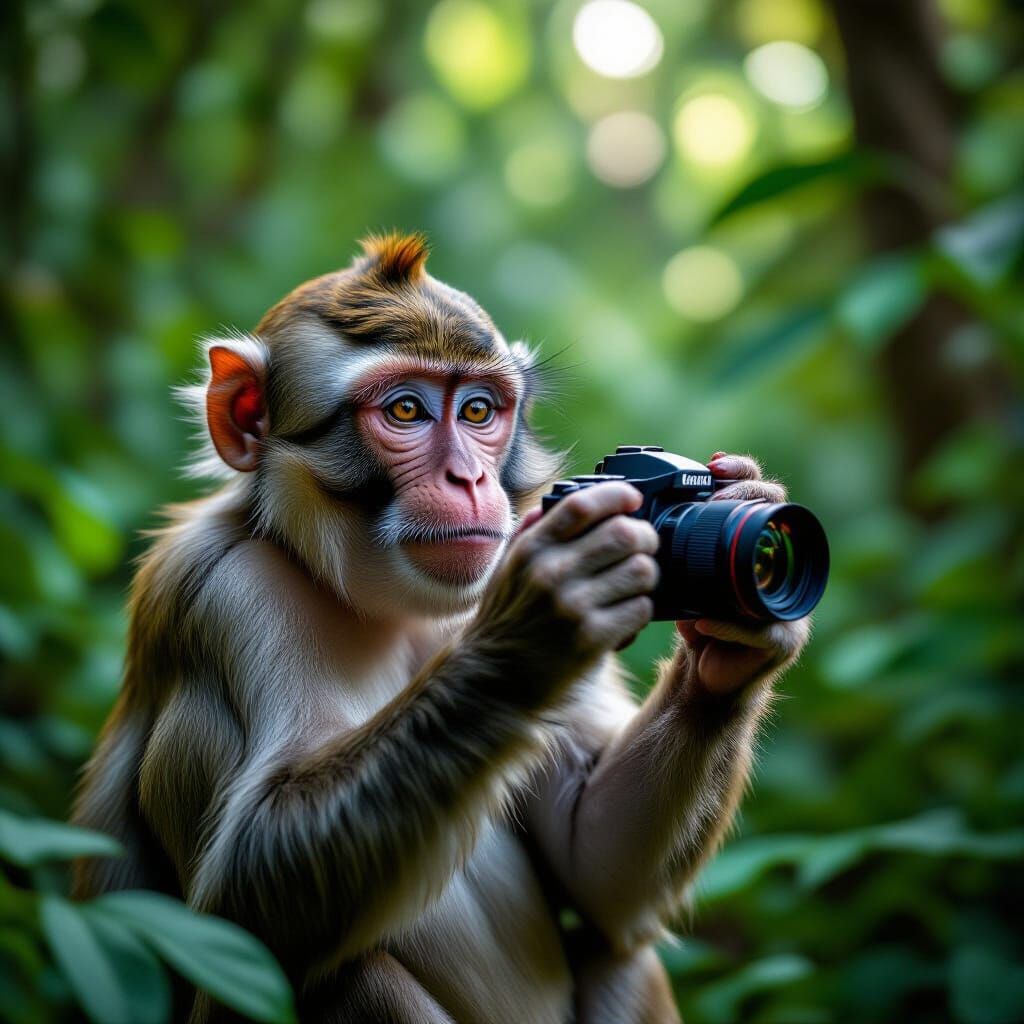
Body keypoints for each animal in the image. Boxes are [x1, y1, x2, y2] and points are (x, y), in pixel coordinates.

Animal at [70, 233, 810, 1024]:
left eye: (480, 410)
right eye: (405, 410)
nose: (469, 479)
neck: (378, 603)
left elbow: (597, 878)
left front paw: (736, 646)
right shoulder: (221, 594)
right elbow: (244, 905)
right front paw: (533, 633)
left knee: (619, 953)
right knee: (338, 972)